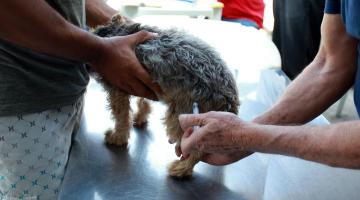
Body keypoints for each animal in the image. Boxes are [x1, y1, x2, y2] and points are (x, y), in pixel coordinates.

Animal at [93, 15, 239, 178]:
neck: (116, 30)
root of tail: (228, 96)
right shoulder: (141, 82)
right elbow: (143, 102)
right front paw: (140, 116)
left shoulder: (118, 86)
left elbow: (121, 117)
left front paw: (118, 137)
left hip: (182, 116)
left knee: (197, 148)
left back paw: (182, 168)